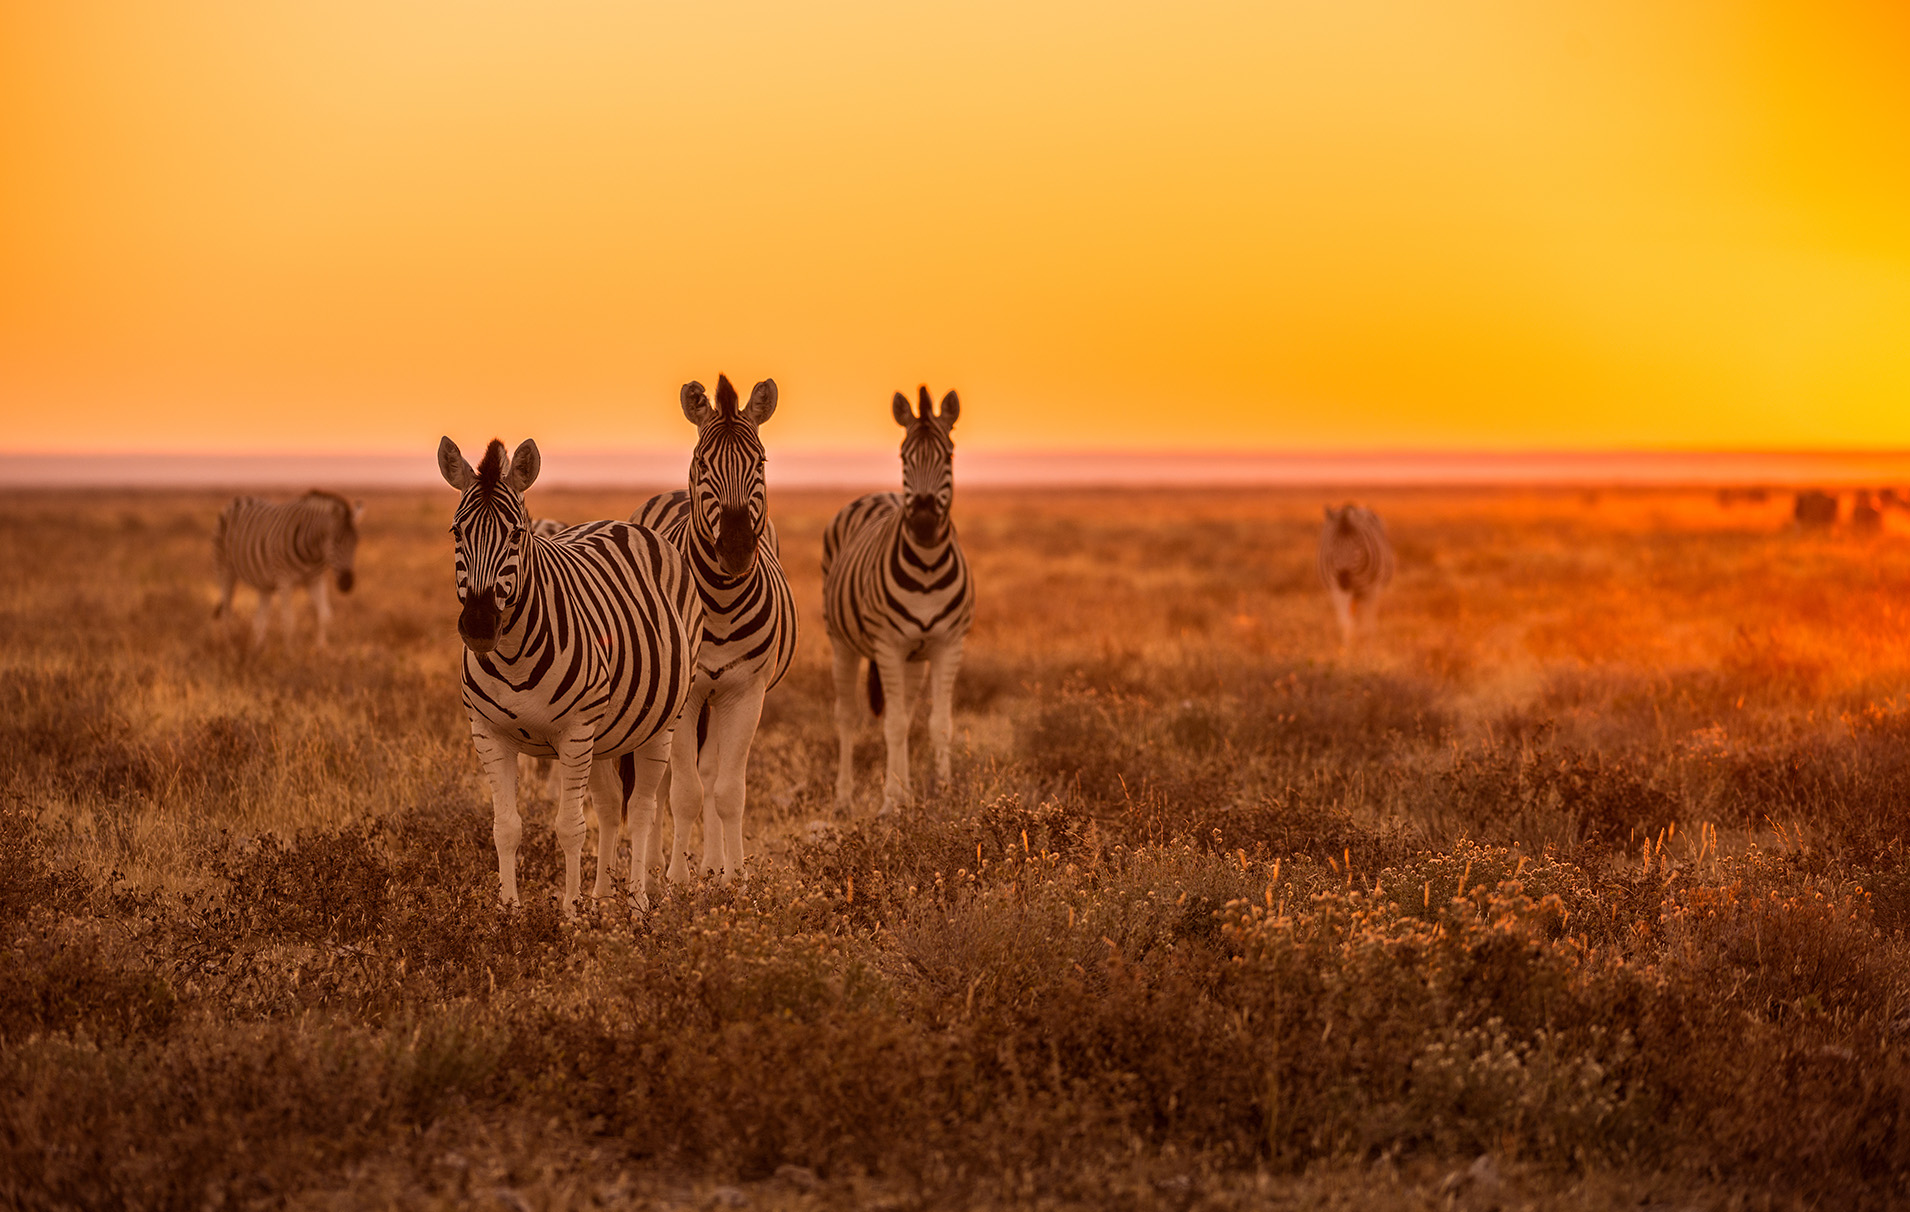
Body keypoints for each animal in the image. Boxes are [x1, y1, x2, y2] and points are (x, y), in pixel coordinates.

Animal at [214, 488, 366, 648]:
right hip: (224, 568)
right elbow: (289, 621)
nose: (347, 584)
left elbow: (325, 615)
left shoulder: (315, 580)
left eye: (356, 542)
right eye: (335, 542)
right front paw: (290, 652)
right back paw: (230, 647)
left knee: (259, 620)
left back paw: (258, 649)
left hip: (264, 584)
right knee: (226, 611)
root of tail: (237, 499)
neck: (312, 553)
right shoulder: (284, 581)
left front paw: (321, 648)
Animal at [435, 437, 702, 908]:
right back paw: (602, 899)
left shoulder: (574, 732)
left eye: (517, 534)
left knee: (643, 810)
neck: (512, 655)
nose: (480, 625)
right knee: (612, 805)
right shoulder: (488, 733)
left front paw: (570, 914)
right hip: (605, 732)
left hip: (660, 723)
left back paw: (637, 902)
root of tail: (622, 523)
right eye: (456, 532)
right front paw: (509, 910)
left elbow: (570, 828)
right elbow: (506, 827)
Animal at [634, 374, 798, 885]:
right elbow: (682, 791)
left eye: (760, 462)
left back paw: (709, 864)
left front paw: (733, 878)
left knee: (708, 774)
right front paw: (674, 881)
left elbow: (727, 790)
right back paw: (653, 868)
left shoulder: (745, 692)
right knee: (663, 781)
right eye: (703, 463)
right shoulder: (686, 696)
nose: (737, 550)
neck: (721, 605)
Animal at [821, 383, 977, 809]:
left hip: (914, 658)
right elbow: (890, 724)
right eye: (904, 457)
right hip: (842, 642)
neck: (926, 567)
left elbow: (938, 723)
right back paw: (844, 797)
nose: (922, 523)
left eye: (949, 455)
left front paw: (943, 792)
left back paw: (905, 789)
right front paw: (890, 802)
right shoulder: (888, 645)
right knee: (847, 715)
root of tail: (878, 493)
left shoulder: (947, 644)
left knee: (905, 714)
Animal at [1321, 503, 1398, 648]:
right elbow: (1345, 622)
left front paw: (1368, 645)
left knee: (1366, 617)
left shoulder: (1373, 590)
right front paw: (1348, 647)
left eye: (1357, 546)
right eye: (1333, 546)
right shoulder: (1337, 590)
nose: (1344, 581)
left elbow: (1368, 623)